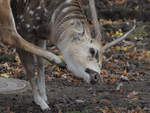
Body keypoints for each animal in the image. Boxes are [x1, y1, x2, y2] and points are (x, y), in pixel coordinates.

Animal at [0, 0, 136, 111]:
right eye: (92, 51)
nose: (96, 77)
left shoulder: (39, 35)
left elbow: (40, 63)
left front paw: (44, 98)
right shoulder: (24, 28)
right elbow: (29, 66)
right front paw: (41, 103)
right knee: (8, 33)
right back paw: (59, 61)